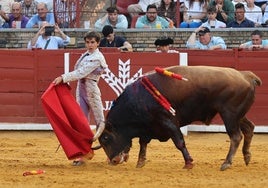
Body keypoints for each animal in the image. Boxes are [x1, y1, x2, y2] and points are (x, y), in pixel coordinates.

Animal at [97, 65, 260, 170]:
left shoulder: (168, 121)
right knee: (249, 128)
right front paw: (140, 162)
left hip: (229, 114)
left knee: (236, 136)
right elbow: (143, 142)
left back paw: (226, 163)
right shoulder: (148, 126)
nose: (113, 160)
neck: (139, 99)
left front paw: (188, 163)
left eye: (105, 138)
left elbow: (179, 142)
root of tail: (246, 75)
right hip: (238, 115)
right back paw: (247, 156)